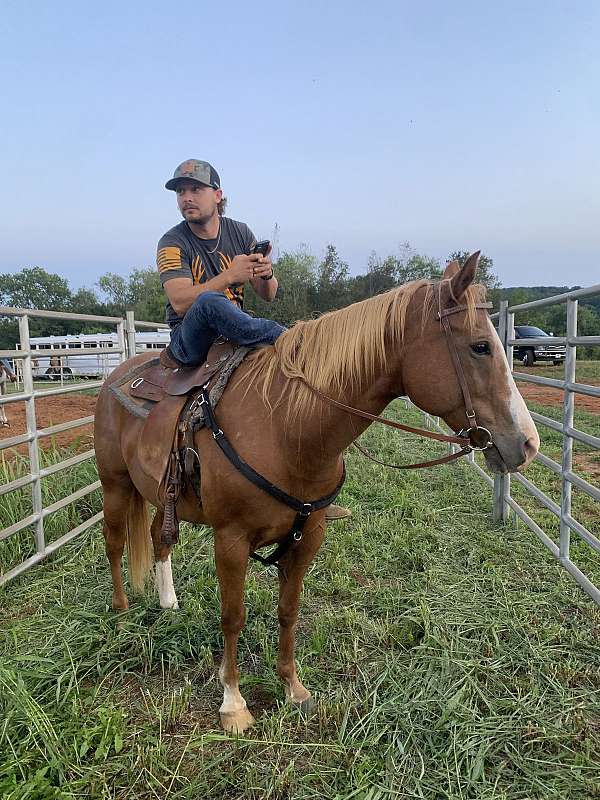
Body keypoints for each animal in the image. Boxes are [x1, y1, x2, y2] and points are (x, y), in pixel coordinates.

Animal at [95, 256, 540, 732]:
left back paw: (168, 602)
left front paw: (293, 687)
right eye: (480, 347)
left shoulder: (308, 537)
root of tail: (116, 375)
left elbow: (288, 610)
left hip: (164, 497)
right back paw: (121, 613)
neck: (287, 426)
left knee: (159, 538)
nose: (528, 444)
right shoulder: (230, 540)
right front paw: (233, 702)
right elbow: (233, 617)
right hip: (115, 485)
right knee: (115, 543)